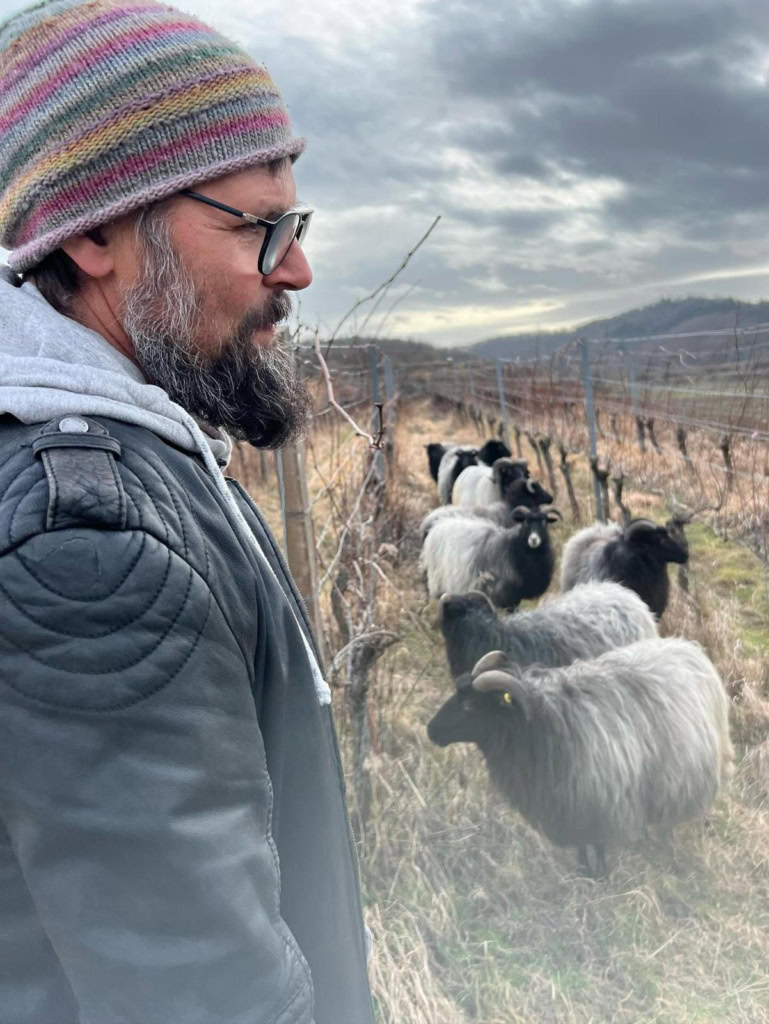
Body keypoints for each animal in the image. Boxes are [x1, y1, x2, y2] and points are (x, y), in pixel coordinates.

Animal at [421, 503, 561, 606]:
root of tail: (436, 525)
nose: (534, 540)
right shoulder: (505, 596)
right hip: (436, 583)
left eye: (544, 522)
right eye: (525, 522)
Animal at [428, 638, 733, 872]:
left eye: (469, 706)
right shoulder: (569, 807)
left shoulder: (600, 803)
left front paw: (601, 877)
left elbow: (597, 846)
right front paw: (583, 872)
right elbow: (582, 847)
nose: (431, 729)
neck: (545, 724)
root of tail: (687, 646)